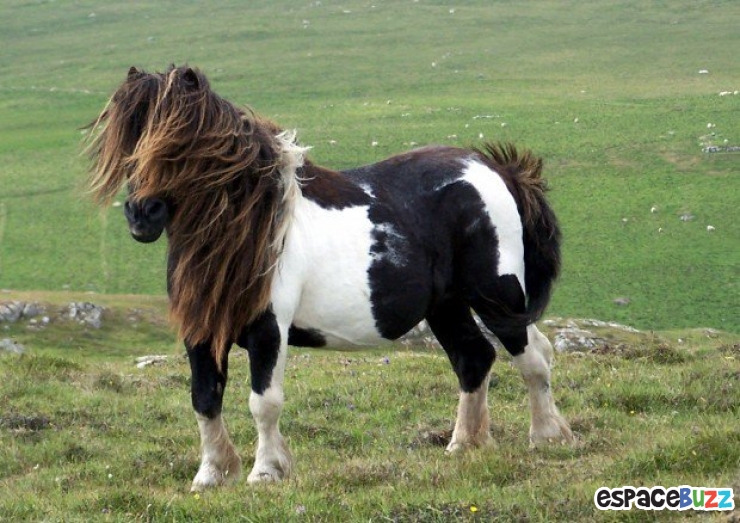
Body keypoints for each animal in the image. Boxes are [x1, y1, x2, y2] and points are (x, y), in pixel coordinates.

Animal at [87, 65, 573, 491]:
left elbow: (264, 403)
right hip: (447, 306)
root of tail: (496, 170)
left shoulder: (269, 330)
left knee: (532, 359)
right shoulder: (202, 331)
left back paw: (547, 437)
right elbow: (205, 399)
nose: (142, 215)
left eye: (178, 144)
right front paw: (211, 475)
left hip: (498, 298)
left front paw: (266, 472)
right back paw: (463, 446)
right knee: (474, 359)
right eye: (129, 137)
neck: (250, 232)